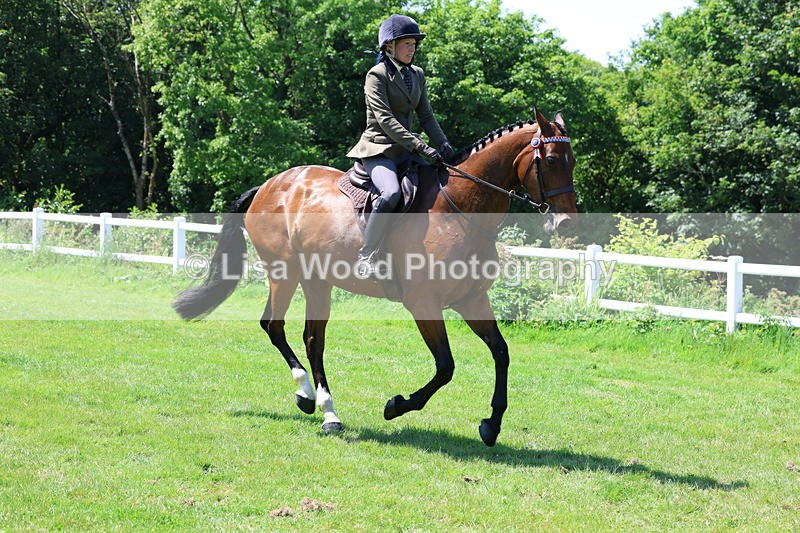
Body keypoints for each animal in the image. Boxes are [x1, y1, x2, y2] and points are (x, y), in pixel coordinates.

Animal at [173, 109, 577, 446]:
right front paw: (396, 405)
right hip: (284, 272)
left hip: (317, 281)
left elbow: (501, 353)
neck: (461, 209)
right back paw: (312, 399)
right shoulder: (423, 304)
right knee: (275, 326)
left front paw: (491, 425)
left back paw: (323, 409)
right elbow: (445, 366)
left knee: (312, 340)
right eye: (551, 160)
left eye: (572, 162)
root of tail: (270, 185)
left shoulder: (471, 300)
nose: (566, 224)